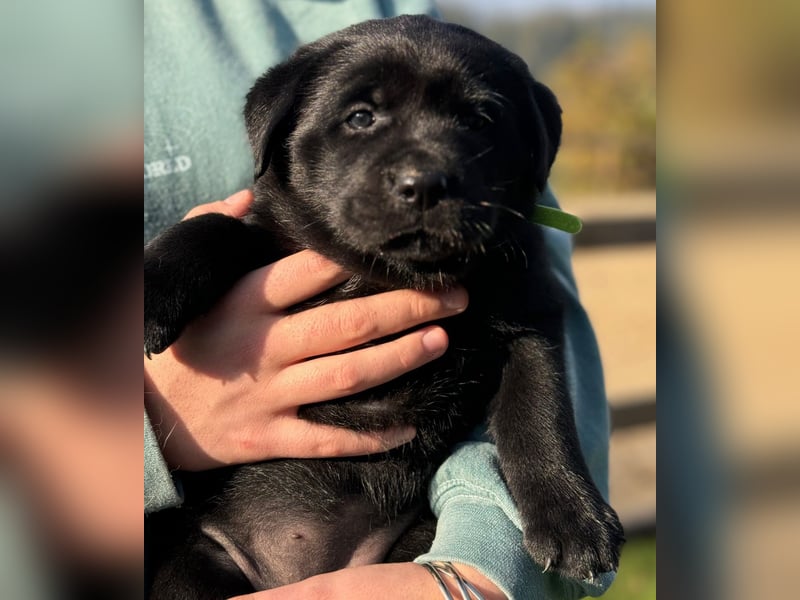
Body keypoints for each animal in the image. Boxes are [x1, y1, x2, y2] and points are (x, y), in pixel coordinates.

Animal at [145, 15, 624, 600]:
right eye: (360, 117)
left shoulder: (529, 315)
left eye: (479, 121)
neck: (388, 274)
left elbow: (539, 414)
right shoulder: (270, 237)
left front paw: (576, 520)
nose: (425, 184)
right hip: (192, 562)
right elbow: (215, 226)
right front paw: (152, 288)